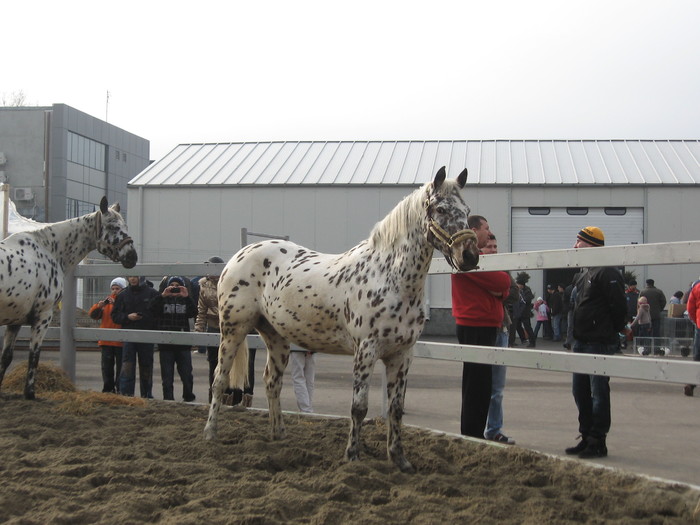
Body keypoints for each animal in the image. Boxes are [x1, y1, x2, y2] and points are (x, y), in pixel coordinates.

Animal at [0, 196, 137, 398]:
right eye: (113, 227)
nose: (132, 257)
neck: (49, 249)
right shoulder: (43, 316)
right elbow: (34, 355)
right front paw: (30, 393)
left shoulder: (15, 321)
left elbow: (6, 358)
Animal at [205, 167, 482, 470]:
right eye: (440, 209)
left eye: (467, 211)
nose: (469, 256)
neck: (390, 278)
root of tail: (238, 257)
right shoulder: (366, 351)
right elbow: (359, 407)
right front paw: (352, 457)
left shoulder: (402, 355)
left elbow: (396, 409)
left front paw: (399, 459)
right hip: (233, 330)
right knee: (219, 380)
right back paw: (210, 433)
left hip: (276, 337)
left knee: (271, 382)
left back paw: (278, 435)